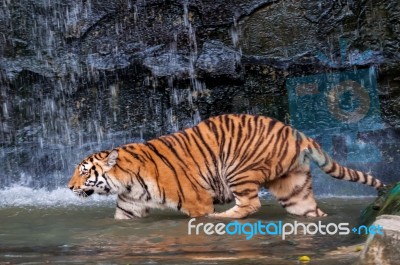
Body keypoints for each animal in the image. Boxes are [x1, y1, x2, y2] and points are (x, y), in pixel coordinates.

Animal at [69, 113, 384, 219]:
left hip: (238, 169)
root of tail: (298, 133)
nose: (69, 187)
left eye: (84, 172)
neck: (127, 182)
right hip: (294, 188)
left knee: (250, 204)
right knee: (310, 211)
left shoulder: (196, 201)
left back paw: (222, 218)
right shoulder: (129, 208)